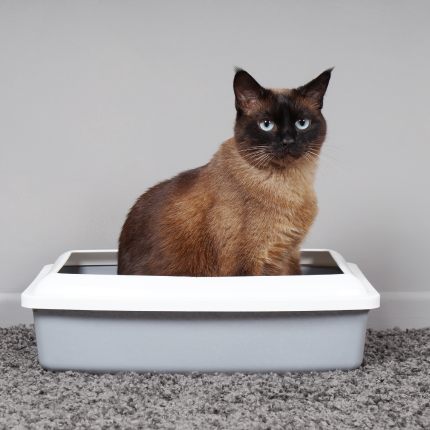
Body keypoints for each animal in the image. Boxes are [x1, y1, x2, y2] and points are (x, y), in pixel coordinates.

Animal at [117, 67, 332, 276]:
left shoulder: (289, 257)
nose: (288, 142)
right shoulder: (248, 264)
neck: (290, 185)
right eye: (266, 125)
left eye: (302, 123)